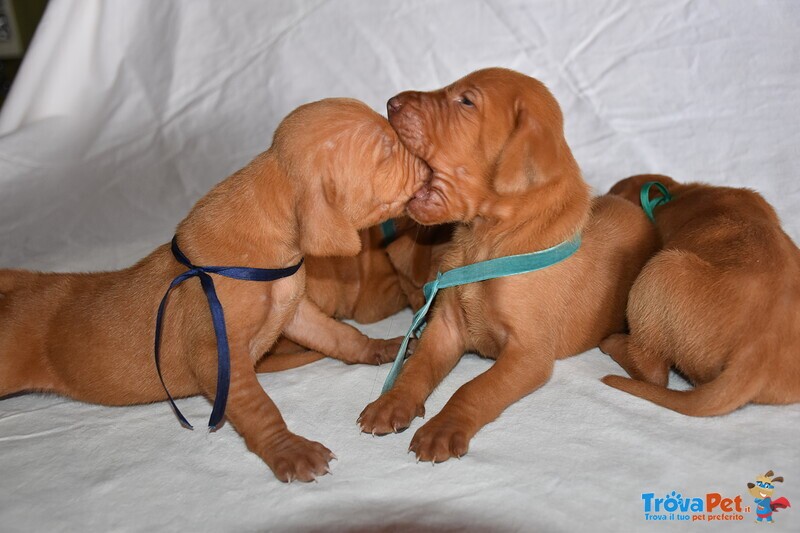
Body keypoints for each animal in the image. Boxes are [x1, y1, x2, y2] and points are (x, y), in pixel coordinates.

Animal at [0, 96, 432, 482]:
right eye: (387, 150)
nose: (431, 164)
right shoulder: (219, 354)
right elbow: (259, 407)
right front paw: (290, 451)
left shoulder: (295, 313)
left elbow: (341, 335)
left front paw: (382, 348)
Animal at [360, 67, 660, 462]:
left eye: (466, 101)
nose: (391, 102)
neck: (485, 244)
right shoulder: (445, 326)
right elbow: (415, 368)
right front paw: (392, 402)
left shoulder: (529, 354)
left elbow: (475, 388)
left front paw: (442, 429)